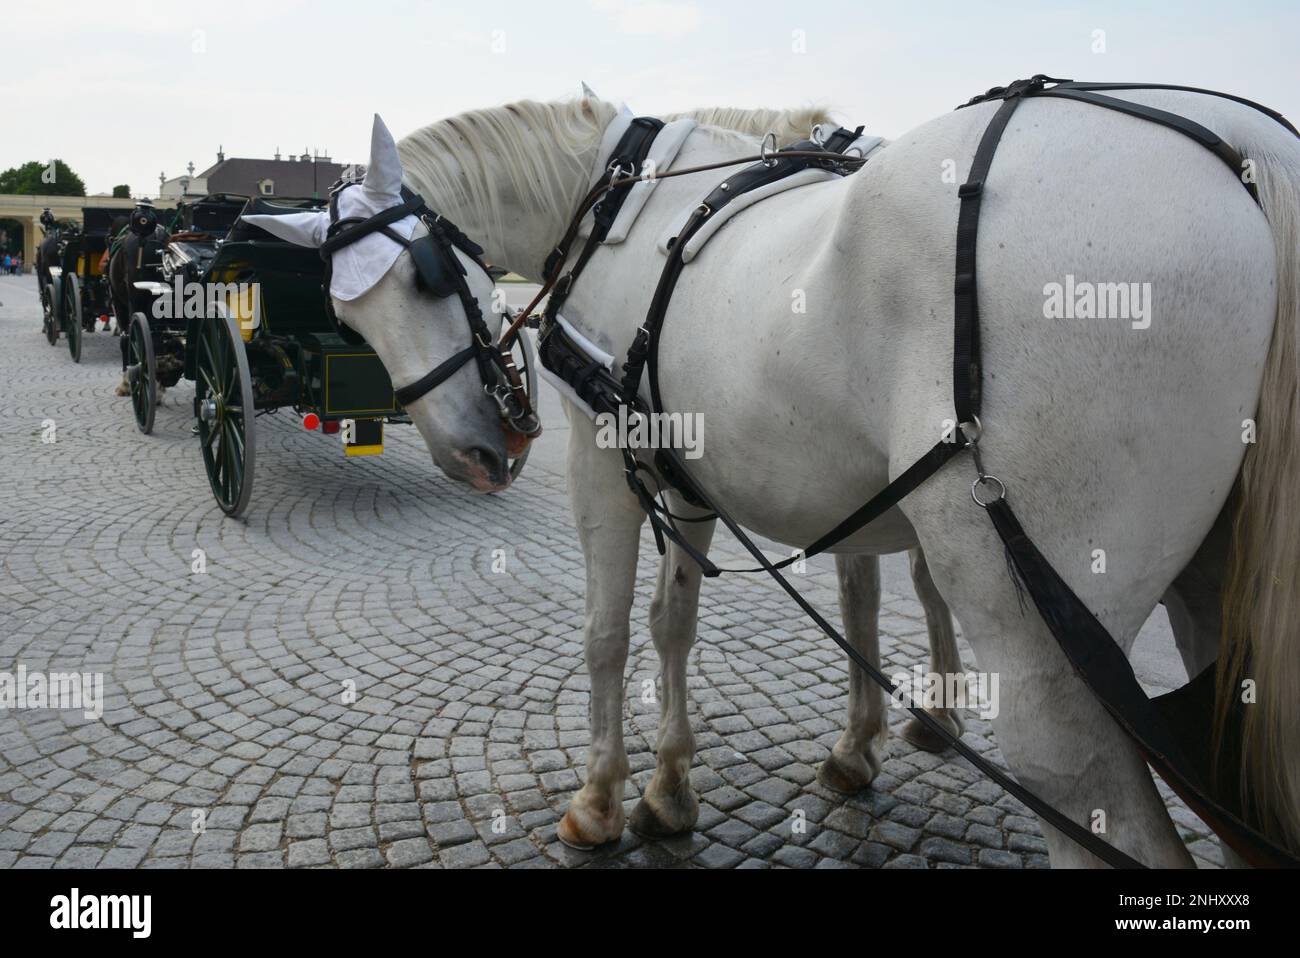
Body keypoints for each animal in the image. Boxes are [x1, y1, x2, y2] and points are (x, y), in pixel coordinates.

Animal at [244, 90, 1300, 867]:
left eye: (426, 277)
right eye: (346, 318)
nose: (475, 455)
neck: (620, 207)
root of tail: (1239, 148)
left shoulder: (603, 458)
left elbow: (607, 633)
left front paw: (600, 800)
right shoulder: (687, 470)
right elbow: (676, 622)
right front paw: (672, 788)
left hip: (1036, 634)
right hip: (1212, 608)